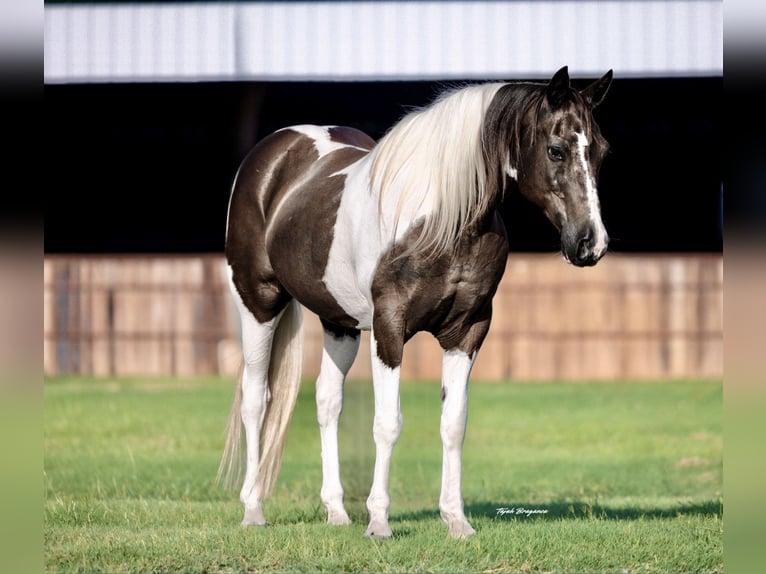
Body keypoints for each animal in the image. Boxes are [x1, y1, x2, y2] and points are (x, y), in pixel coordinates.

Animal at [218, 66, 613, 539]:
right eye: (556, 150)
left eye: (602, 152)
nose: (591, 243)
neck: (444, 221)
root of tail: (271, 156)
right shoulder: (389, 327)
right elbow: (388, 423)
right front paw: (379, 522)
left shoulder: (468, 331)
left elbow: (454, 424)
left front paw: (456, 520)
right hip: (258, 303)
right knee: (256, 399)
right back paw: (253, 509)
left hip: (340, 322)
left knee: (327, 401)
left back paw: (336, 511)